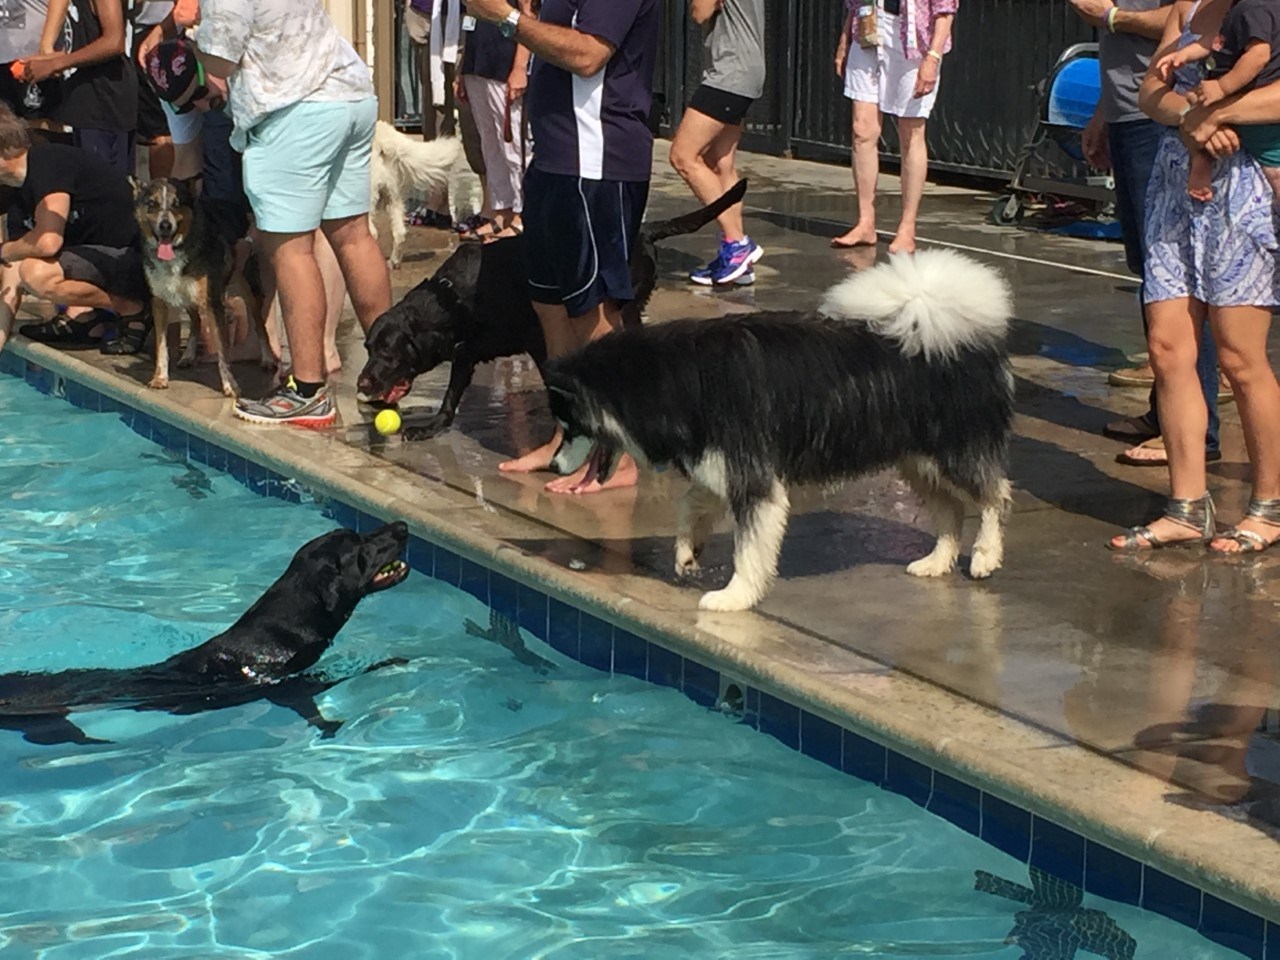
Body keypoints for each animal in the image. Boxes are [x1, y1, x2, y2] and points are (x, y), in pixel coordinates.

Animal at [131, 177, 276, 399]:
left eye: (177, 203)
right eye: (151, 204)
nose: (165, 225)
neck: (178, 249)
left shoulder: (213, 302)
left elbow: (224, 351)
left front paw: (230, 386)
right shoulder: (159, 300)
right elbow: (161, 346)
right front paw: (160, 378)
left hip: (247, 285)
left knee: (259, 324)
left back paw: (268, 359)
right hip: (186, 294)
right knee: (196, 321)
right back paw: (188, 356)